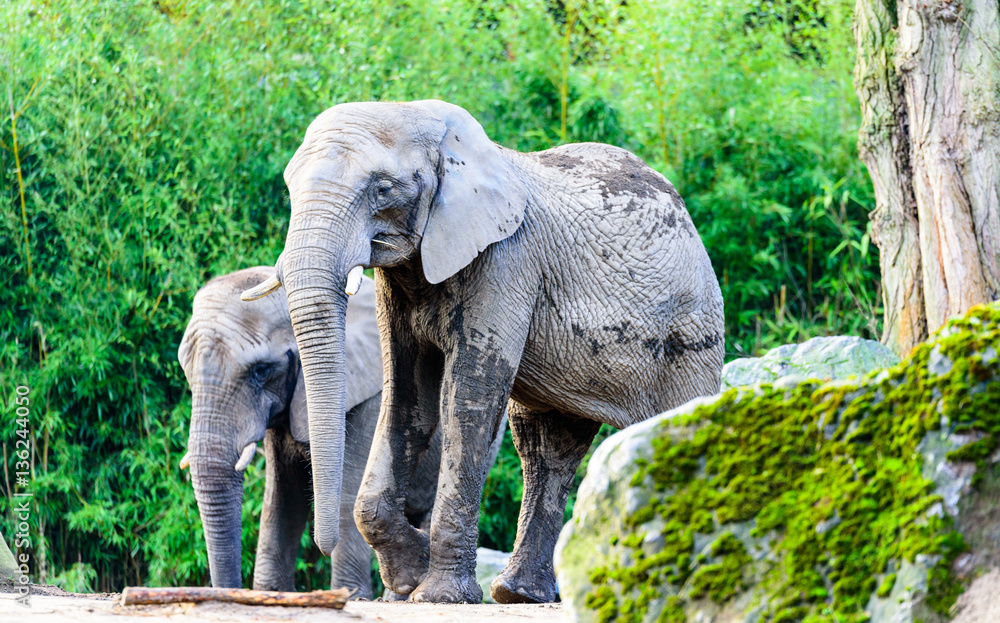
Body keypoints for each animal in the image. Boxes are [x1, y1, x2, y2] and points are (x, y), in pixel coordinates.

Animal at [180, 270, 446, 600]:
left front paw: (352, 596)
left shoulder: (370, 398)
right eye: (185, 370)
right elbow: (282, 498)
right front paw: (272, 592)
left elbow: (346, 493)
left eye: (261, 371)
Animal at [242, 101, 728, 604]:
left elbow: (468, 400)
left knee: (674, 426)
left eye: (382, 188)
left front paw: (437, 596)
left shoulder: (507, 259)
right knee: (545, 448)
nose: (320, 547)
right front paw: (408, 577)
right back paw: (519, 594)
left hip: (689, 333)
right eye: (290, 186)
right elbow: (408, 401)